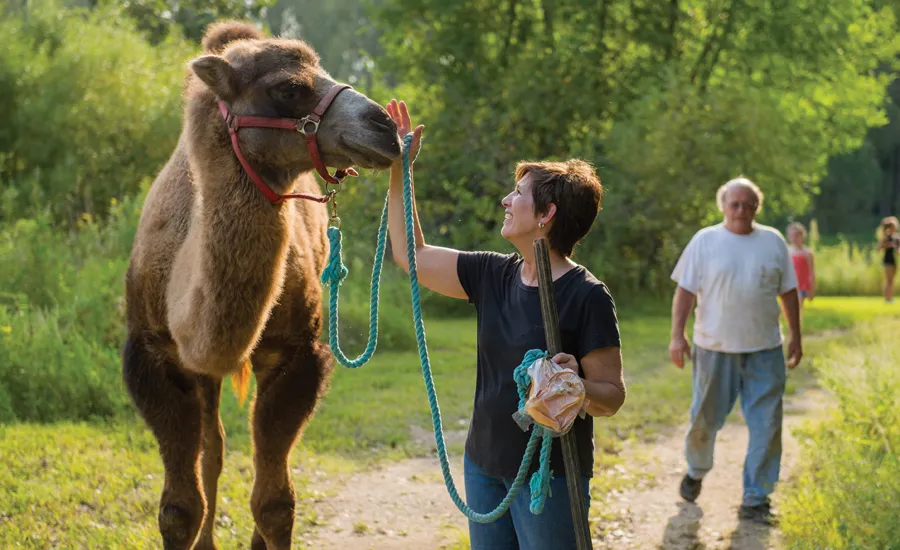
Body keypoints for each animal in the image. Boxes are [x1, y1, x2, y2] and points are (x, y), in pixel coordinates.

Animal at [122, 20, 400, 549]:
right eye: (288, 89)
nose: (386, 126)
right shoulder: (150, 355)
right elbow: (178, 508)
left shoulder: (298, 353)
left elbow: (275, 503)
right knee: (214, 450)